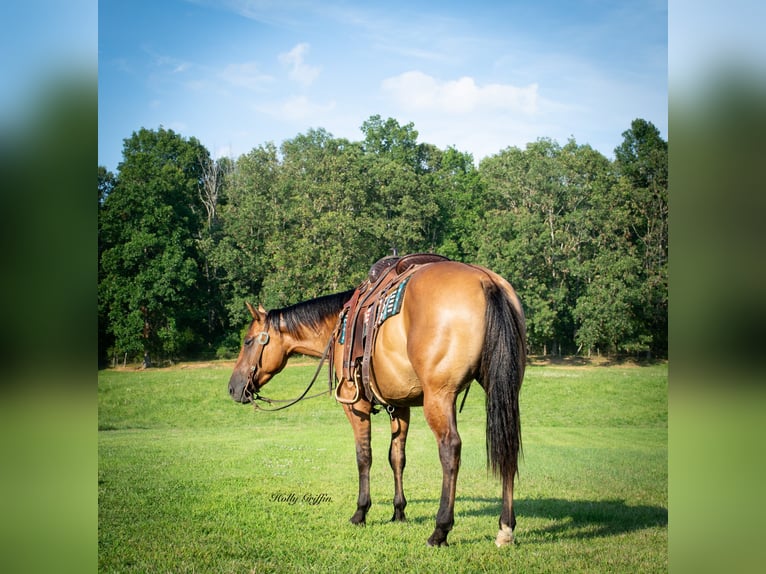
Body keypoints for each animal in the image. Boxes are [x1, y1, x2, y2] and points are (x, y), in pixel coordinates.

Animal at [228, 257, 526, 547]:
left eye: (248, 341)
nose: (233, 388)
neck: (338, 326)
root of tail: (486, 281)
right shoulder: (401, 405)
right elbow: (397, 457)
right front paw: (399, 511)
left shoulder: (355, 405)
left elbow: (364, 456)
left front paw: (361, 512)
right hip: (505, 390)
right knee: (508, 447)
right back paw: (505, 528)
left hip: (439, 397)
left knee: (450, 449)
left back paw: (440, 530)